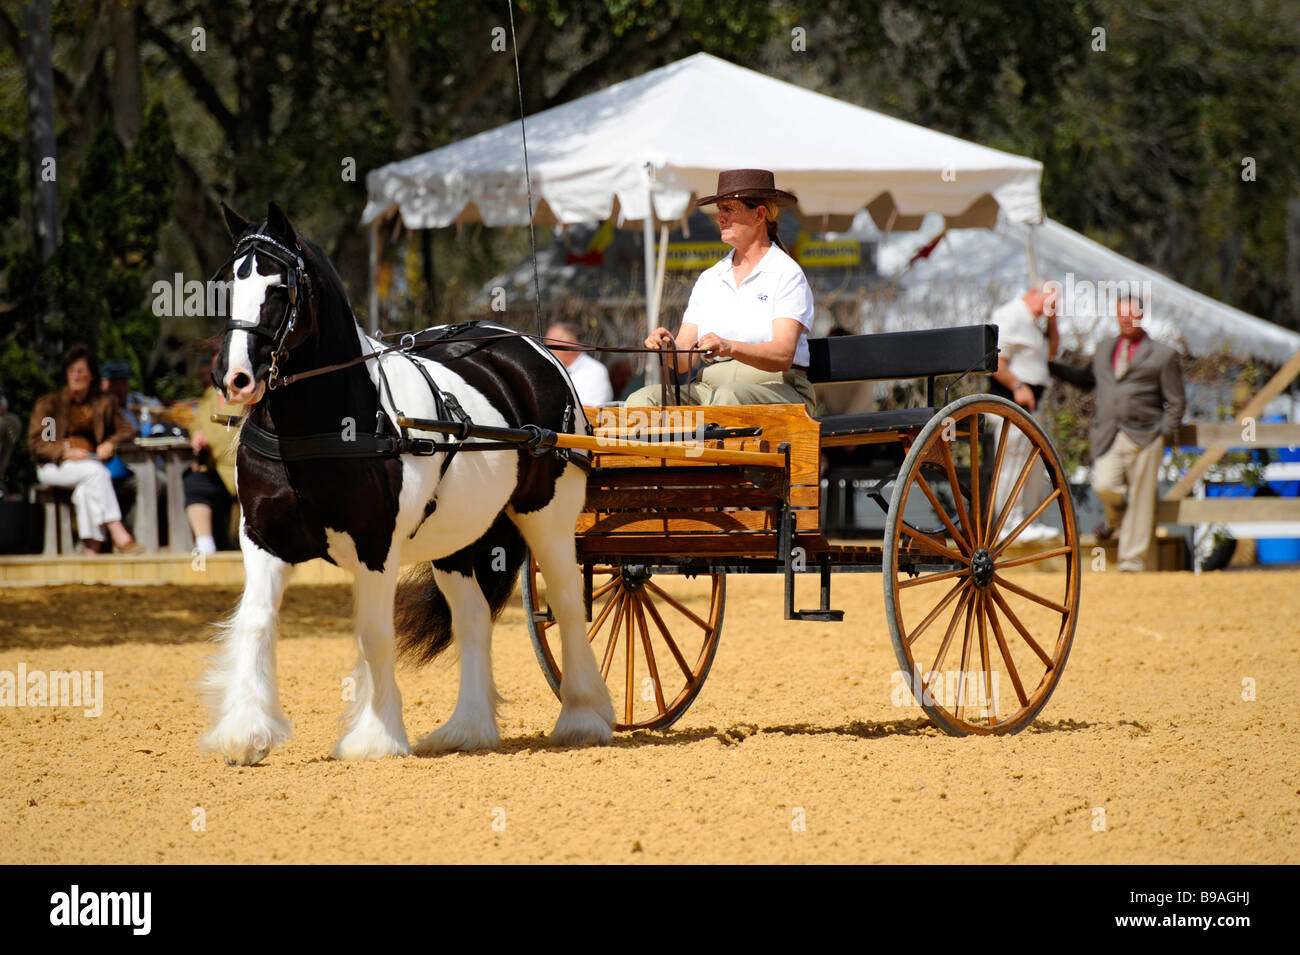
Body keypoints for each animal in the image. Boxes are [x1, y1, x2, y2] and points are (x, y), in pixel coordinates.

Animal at [202, 201, 615, 764]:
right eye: (226, 287)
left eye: (279, 289)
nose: (235, 378)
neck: (320, 427)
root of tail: (526, 346)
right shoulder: (263, 539)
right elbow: (256, 621)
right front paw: (246, 733)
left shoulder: (376, 545)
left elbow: (375, 634)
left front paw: (376, 737)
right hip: (458, 539)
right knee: (473, 619)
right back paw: (467, 729)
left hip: (546, 517)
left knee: (570, 604)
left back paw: (583, 717)